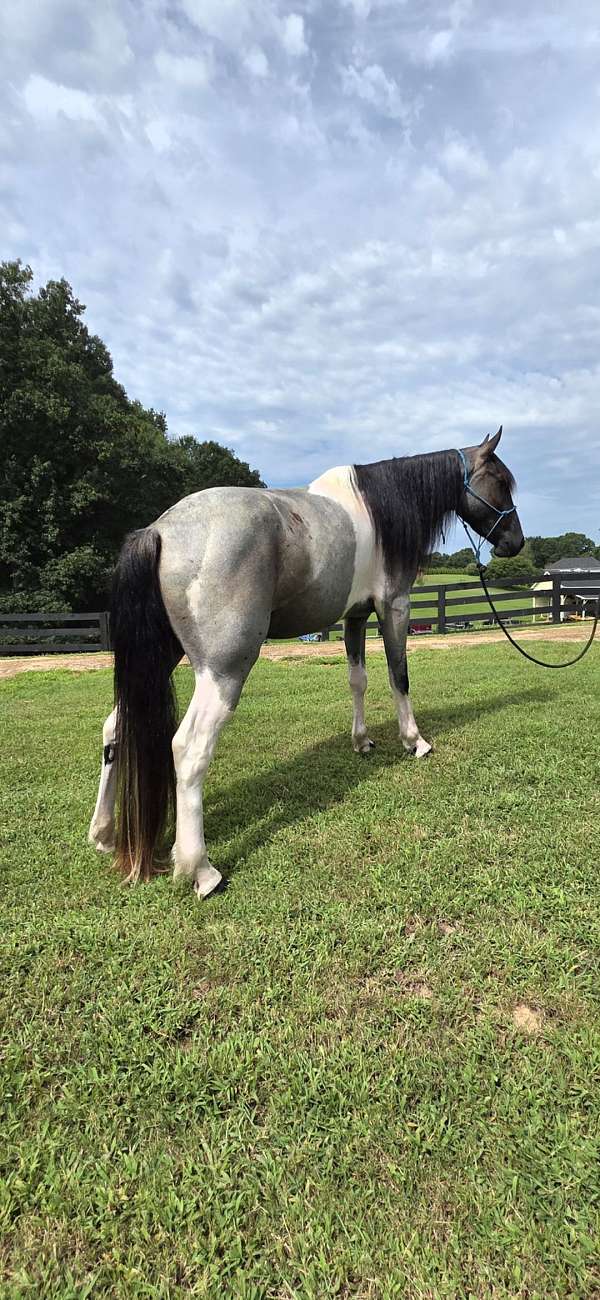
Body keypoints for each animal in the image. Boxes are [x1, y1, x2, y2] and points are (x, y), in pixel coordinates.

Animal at [88, 427, 524, 899]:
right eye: (499, 480)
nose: (516, 543)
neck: (381, 508)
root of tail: (160, 530)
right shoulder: (395, 606)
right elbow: (399, 674)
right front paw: (415, 741)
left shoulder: (356, 616)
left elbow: (358, 679)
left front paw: (362, 741)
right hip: (223, 671)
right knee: (189, 748)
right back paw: (201, 871)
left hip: (163, 656)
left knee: (115, 727)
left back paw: (103, 834)